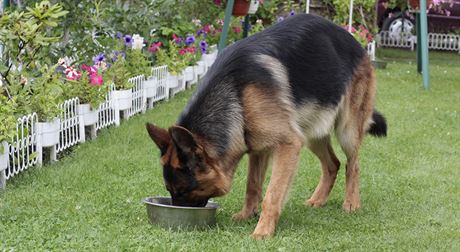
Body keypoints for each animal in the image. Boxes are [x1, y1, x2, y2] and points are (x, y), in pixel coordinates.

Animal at [146, 13, 386, 238]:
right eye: (169, 190)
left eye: (183, 191)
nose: (178, 218)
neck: (235, 92)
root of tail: (355, 41)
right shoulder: (257, 146)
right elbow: (252, 185)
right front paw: (246, 215)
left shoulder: (288, 144)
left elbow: (272, 194)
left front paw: (263, 231)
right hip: (312, 132)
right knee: (333, 164)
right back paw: (318, 200)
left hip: (346, 130)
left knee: (352, 165)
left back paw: (351, 203)